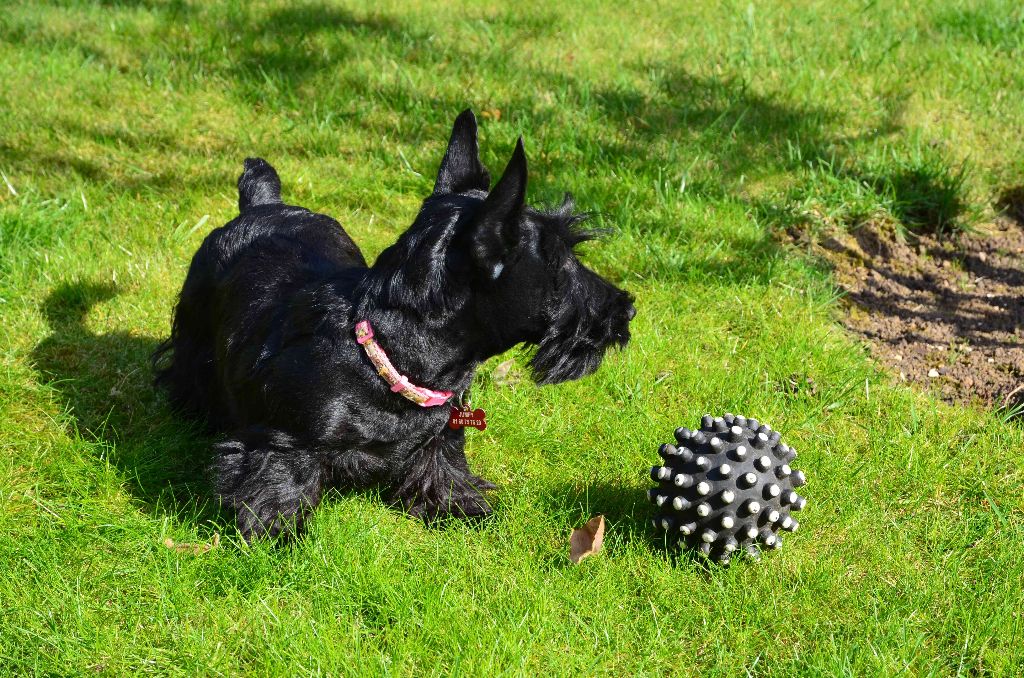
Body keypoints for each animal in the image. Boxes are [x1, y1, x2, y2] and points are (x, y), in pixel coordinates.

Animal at [153, 109, 630, 540]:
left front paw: (464, 509)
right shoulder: (281, 440)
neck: (391, 352)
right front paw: (275, 534)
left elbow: (443, 469)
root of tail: (262, 203)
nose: (626, 309)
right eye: (561, 261)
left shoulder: (441, 437)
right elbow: (279, 483)